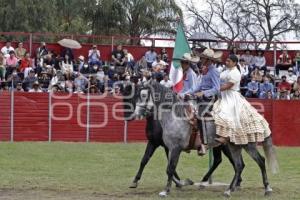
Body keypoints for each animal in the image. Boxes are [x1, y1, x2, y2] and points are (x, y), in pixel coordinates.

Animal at [134, 80, 278, 198]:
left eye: (143, 95)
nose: (136, 114)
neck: (175, 117)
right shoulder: (168, 147)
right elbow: (168, 168)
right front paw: (177, 185)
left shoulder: (175, 148)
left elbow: (170, 168)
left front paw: (165, 191)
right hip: (233, 146)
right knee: (239, 165)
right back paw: (228, 190)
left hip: (248, 145)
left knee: (260, 161)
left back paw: (267, 189)